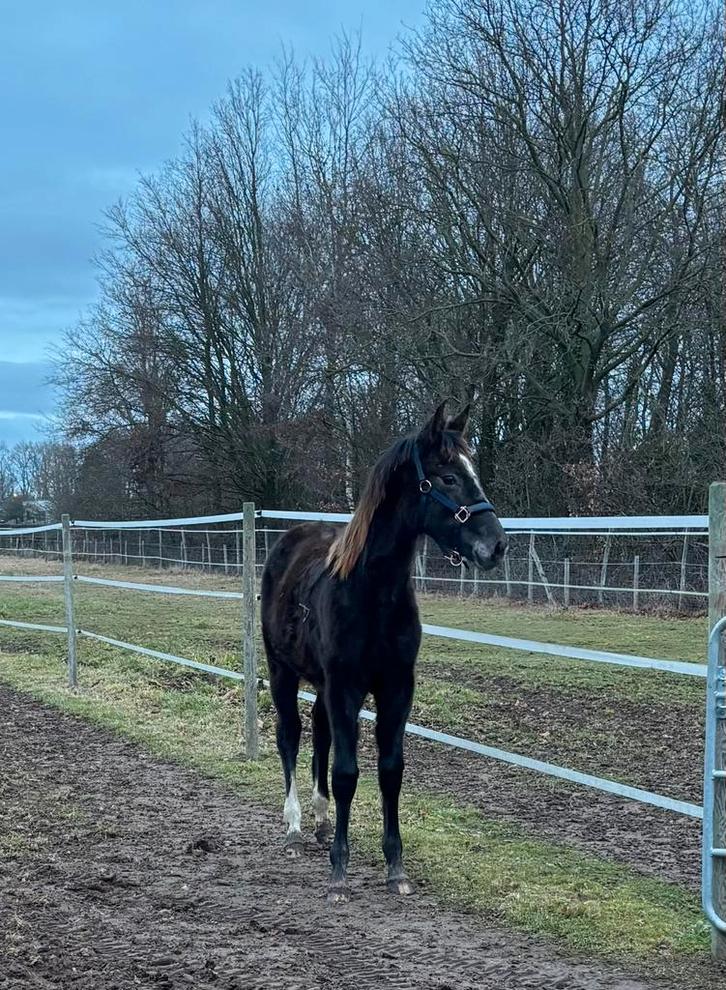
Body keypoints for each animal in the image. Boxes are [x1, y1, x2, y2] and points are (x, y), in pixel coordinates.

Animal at [260, 402, 508, 902]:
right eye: (448, 477)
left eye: (473, 471)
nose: (497, 545)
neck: (372, 594)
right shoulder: (347, 687)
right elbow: (347, 772)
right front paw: (339, 872)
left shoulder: (396, 687)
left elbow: (391, 770)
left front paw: (396, 867)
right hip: (282, 672)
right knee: (289, 735)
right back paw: (294, 827)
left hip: (322, 684)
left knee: (319, 733)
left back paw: (320, 821)